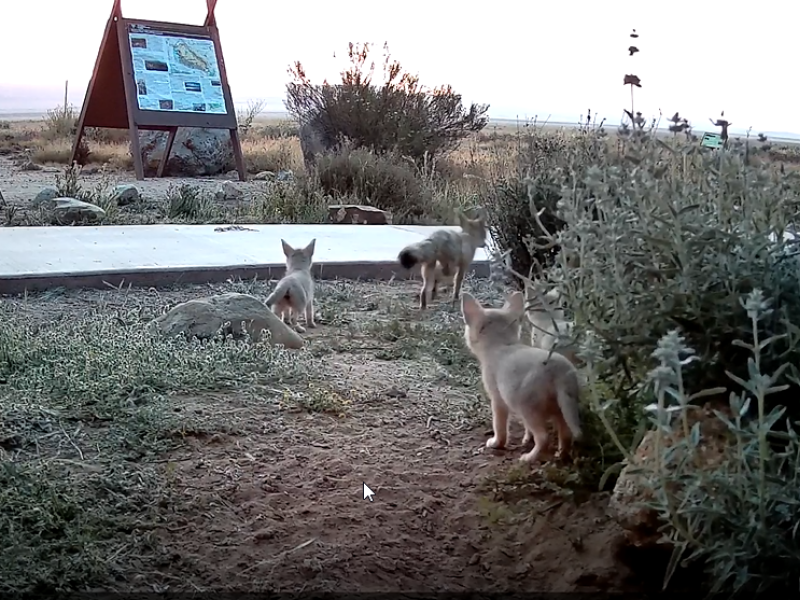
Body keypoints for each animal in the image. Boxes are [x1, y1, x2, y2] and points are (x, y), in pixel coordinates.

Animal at [461, 290, 583, 464]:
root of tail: (561, 371)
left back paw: (528, 458)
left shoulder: (498, 399)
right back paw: (561, 455)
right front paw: (526, 438)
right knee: (566, 434)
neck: (503, 345)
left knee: (543, 437)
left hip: (527, 406)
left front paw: (496, 443)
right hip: (561, 407)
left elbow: (499, 426)